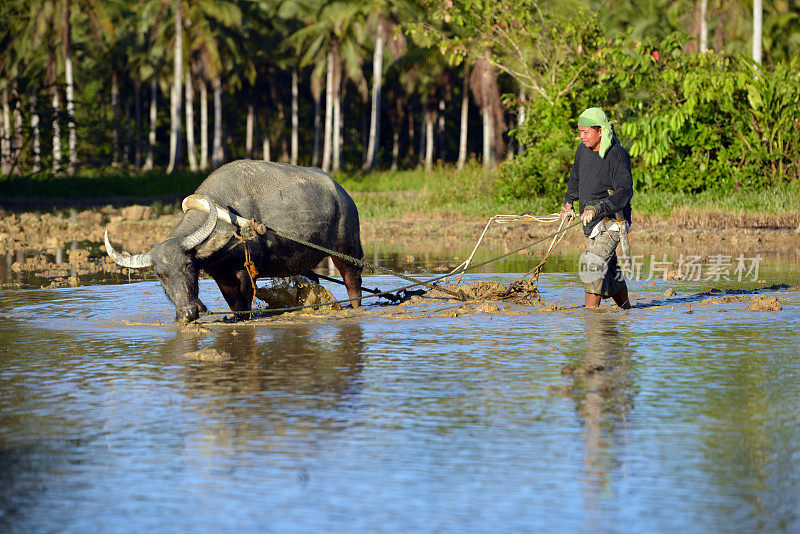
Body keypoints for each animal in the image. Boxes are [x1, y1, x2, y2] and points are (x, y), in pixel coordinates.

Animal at [104, 160, 364, 322]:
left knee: (354, 285)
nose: (189, 312)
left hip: (348, 250)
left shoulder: (245, 272)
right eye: (160, 274)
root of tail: (343, 194)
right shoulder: (222, 275)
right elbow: (234, 306)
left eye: (188, 266)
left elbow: (243, 309)